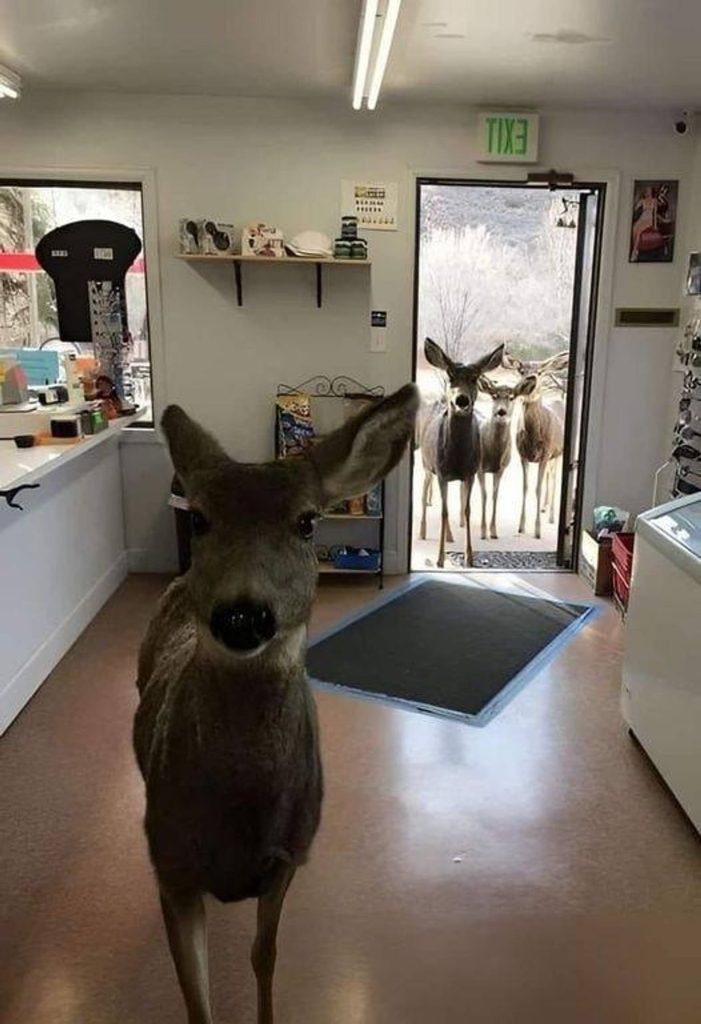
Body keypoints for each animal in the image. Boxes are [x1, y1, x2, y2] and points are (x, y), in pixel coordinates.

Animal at [133, 385, 415, 1024]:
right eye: (201, 518)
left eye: (308, 521)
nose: (243, 614)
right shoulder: (171, 865)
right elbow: (196, 998)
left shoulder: (290, 854)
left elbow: (266, 956)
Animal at [415, 342, 503, 569]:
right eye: (450, 376)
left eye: (474, 378)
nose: (461, 400)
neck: (456, 456)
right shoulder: (441, 472)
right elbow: (444, 512)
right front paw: (439, 559)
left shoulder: (470, 473)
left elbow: (466, 510)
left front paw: (469, 557)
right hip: (427, 465)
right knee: (425, 494)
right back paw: (423, 531)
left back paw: (450, 536)